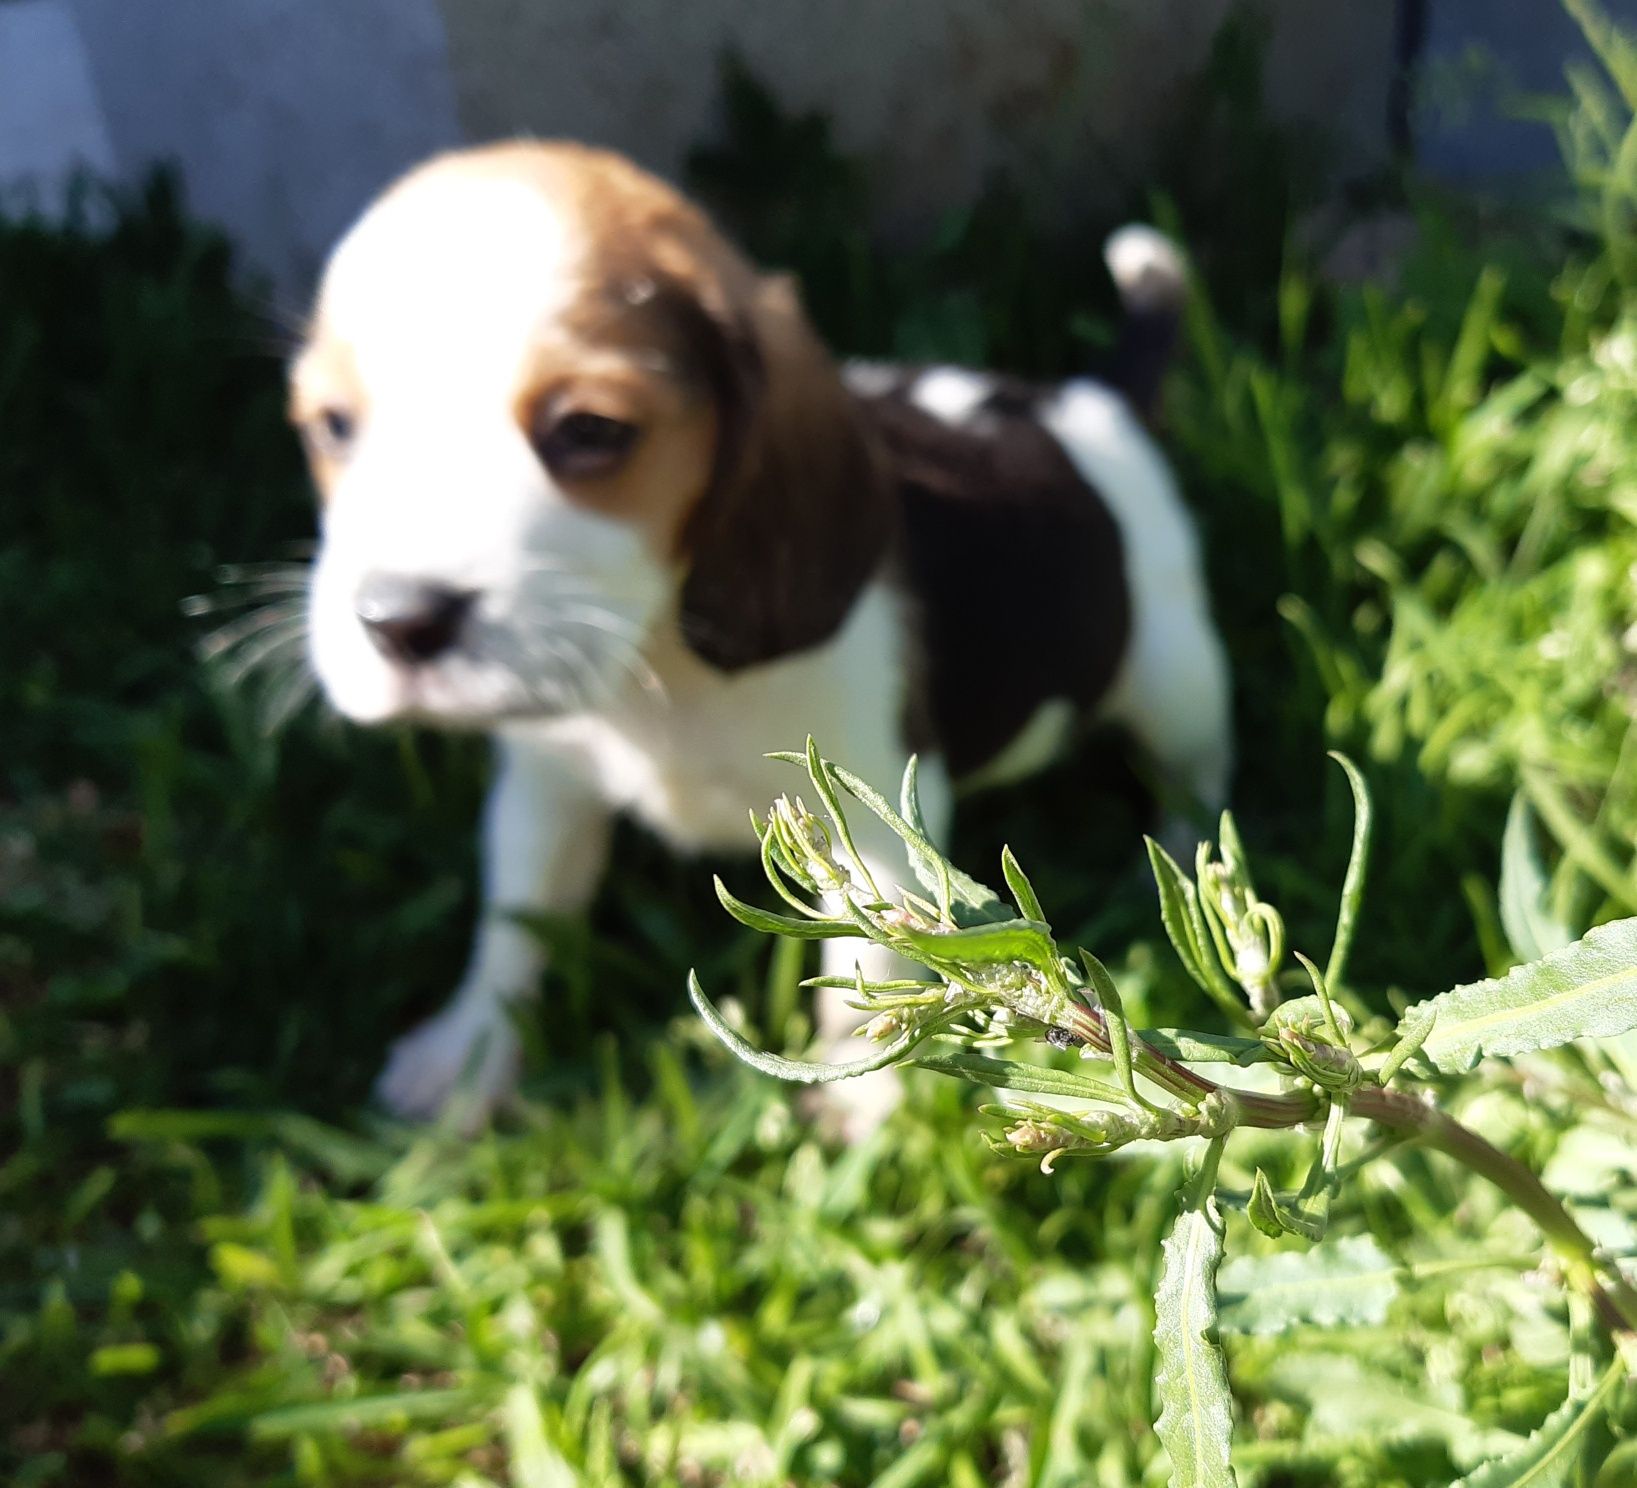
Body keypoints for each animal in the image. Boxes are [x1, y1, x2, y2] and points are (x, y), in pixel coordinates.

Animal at [291, 144, 1231, 1119]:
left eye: (590, 429)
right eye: (332, 427)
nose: (397, 619)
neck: (660, 665)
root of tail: (1086, 404)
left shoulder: (874, 814)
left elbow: (872, 953)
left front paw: (860, 1101)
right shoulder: (545, 788)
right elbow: (516, 922)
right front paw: (467, 1056)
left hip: (1175, 673)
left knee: (1193, 773)